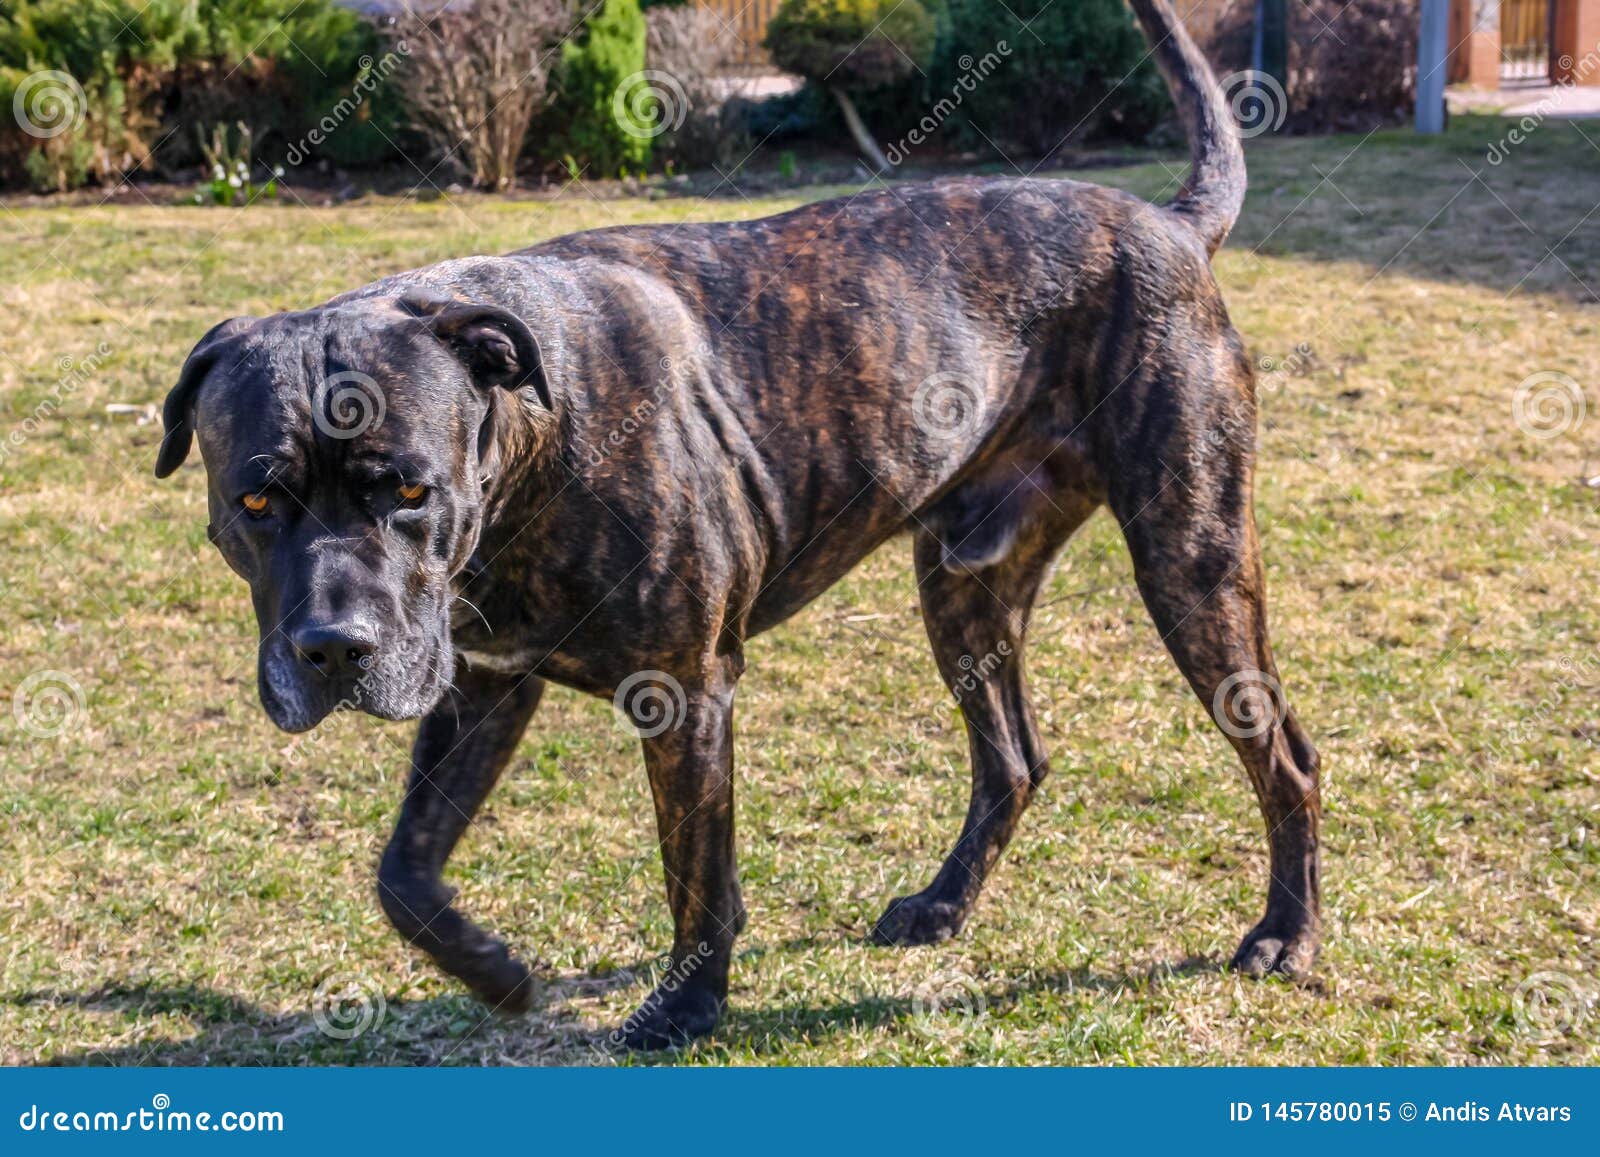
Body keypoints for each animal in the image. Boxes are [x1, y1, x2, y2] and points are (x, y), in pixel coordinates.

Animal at [156, 0, 1318, 1049]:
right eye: (255, 502)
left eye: (409, 490)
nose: (334, 649)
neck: (531, 442)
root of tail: (1169, 224)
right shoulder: (482, 683)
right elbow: (404, 869)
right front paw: (491, 968)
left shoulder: (685, 692)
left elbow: (697, 875)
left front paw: (686, 1009)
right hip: (964, 587)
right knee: (1013, 759)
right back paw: (941, 904)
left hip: (1192, 562)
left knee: (1285, 755)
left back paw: (1285, 934)